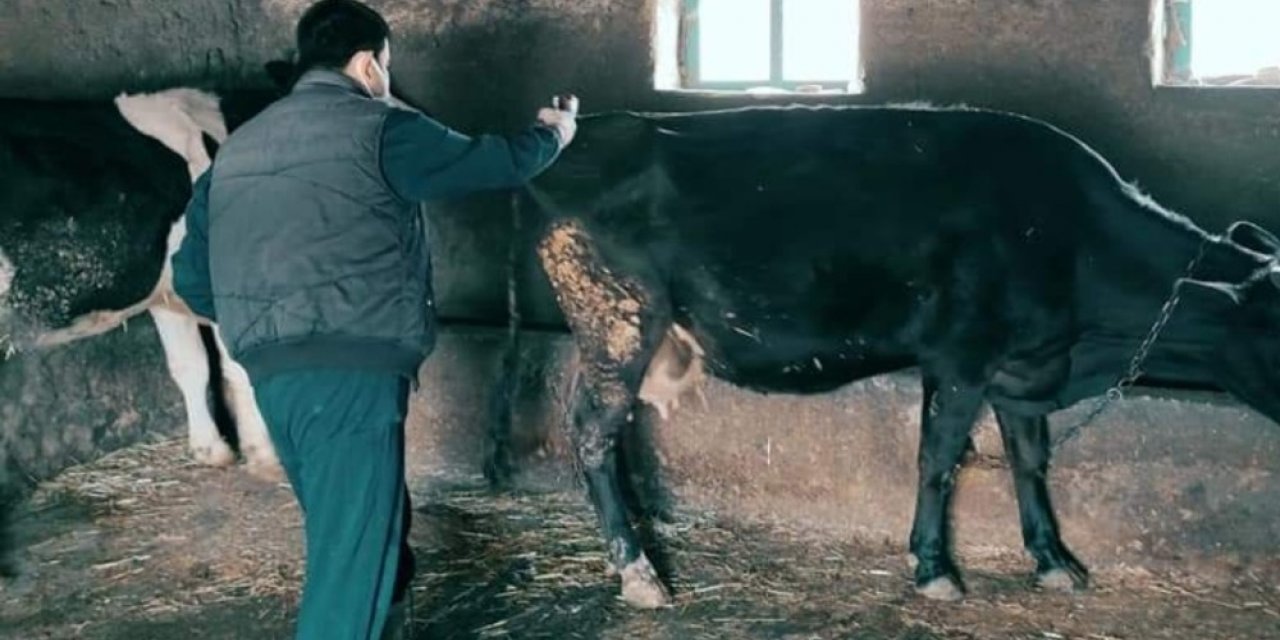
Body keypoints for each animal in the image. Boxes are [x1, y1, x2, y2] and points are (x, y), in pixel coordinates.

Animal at [491, 104, 1280, 609]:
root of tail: (591, 133)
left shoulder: (1020, 366)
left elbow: (1030, 460)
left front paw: (1054, 560)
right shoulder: (960, 355)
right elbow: (938, 459)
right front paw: (934, 569)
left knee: (614, 436)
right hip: (616, 319)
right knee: (592, 435)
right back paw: (640, 575)